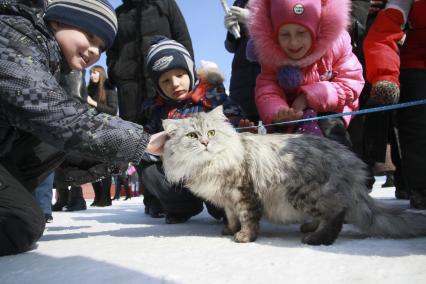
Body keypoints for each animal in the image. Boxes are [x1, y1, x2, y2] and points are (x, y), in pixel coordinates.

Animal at [161, 105, 426, 245]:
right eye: (192, 136)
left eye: (212, 133)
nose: (205, 143)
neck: (210, 164)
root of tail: (347, 160)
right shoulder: (227, 200)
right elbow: (232, 217)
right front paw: (228, 230)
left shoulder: (244, 194)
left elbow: (247, 219)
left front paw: (244, 237)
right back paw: (309, 228)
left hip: (304, 194)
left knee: (336, 216)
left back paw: (317, 239)